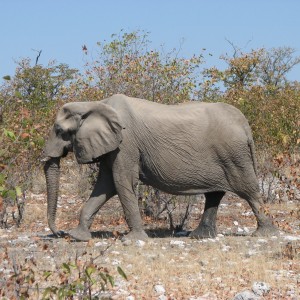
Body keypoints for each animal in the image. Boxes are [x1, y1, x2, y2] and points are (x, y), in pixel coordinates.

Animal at [42, 94, 276, 241]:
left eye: (59, 130)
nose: (59, 233)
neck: (95, 104)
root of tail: (245, 124)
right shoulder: (113, 146)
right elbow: (105, 186)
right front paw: (77, 236)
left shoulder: (126, 143)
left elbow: (121, 181)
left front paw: (133, 240)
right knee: (215, 194)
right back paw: (199, 236)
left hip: (234, 155)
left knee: (248, 190)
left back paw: (265, 234)